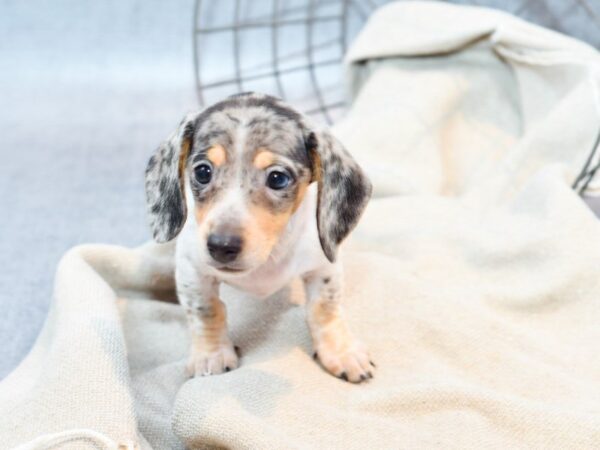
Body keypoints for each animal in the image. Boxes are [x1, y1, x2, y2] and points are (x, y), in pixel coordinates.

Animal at [143, 92, 372, 384]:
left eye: (277, 178)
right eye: (202, 172)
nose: (221, 246)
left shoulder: (323, 265)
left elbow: (324, 308)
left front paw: (341, 352)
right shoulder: (192, 268)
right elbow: (206, 310)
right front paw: (212, 355)